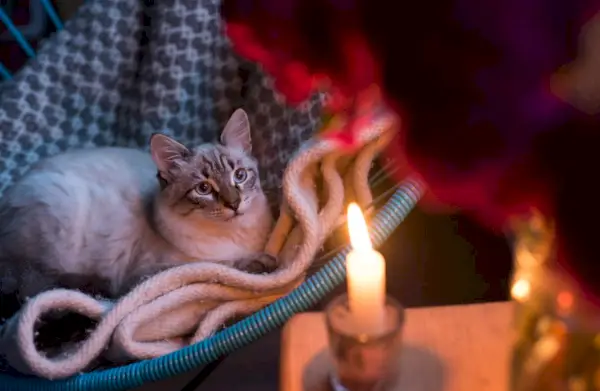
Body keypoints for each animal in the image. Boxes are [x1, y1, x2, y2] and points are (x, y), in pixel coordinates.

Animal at [0, 108, 276, 302]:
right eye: (204, 189)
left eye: (240, 176)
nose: (235, 204)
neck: (236, 235)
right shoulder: (156, 273)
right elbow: (217, 266)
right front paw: (262, 264)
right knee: (33, 290)